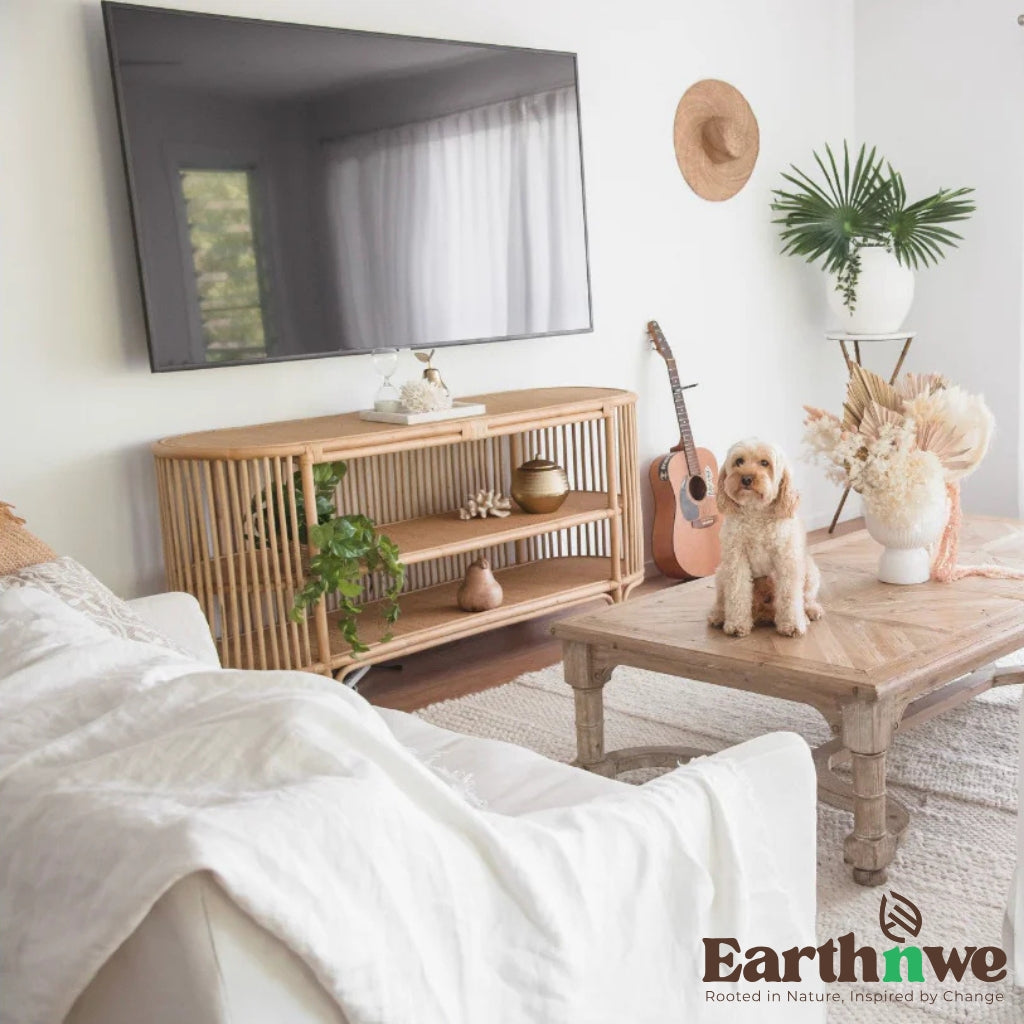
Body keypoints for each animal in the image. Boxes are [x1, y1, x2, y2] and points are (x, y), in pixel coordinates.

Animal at [712, 438, 823, 634]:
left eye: (765, 463)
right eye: (739, 461)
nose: (746, 478)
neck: (756, 512)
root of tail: (764, 612)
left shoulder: (787, 559)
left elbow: (789, 595)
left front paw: (792, 624)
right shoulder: (735, 560)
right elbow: (737, 592)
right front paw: (737, 624)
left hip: (810, 571)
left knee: (807, 598)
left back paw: (809, 612)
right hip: (721, 573)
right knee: (721, 601)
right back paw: (718, 616)